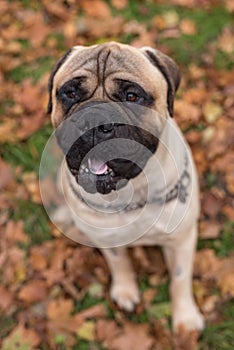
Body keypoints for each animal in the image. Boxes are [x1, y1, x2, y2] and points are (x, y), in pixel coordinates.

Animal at [47, 41, 205, 330]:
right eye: (70, 93)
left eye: (132, 96)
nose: (93, 120)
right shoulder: (106, 239)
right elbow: (119, 263)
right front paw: (125, 290)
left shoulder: (181, 239)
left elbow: (179, 278)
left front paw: (185, 317)